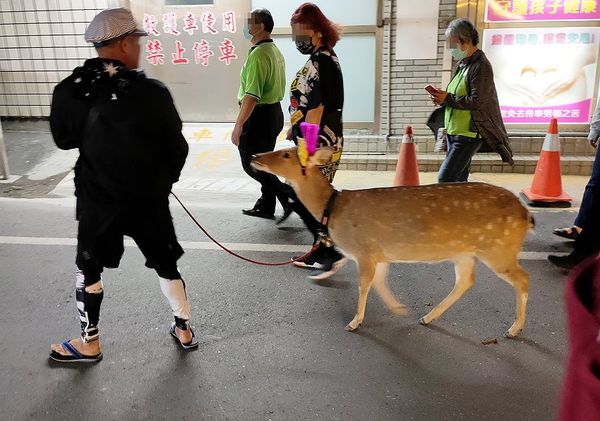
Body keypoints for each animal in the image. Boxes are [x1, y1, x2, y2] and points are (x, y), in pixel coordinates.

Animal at [251, 146, 532, 336]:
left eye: (286, 155)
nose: (255, 156)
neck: (332, 207)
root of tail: (526, 215)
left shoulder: (365, 250)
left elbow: (365, 285)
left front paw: (354, 322)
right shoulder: (378, 252)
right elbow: (378, 281)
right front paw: (398, 309)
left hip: (498, 249)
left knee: (523, 278)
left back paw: (514, 329)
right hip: (465, 252)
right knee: (466, 281)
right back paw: (427, 317)